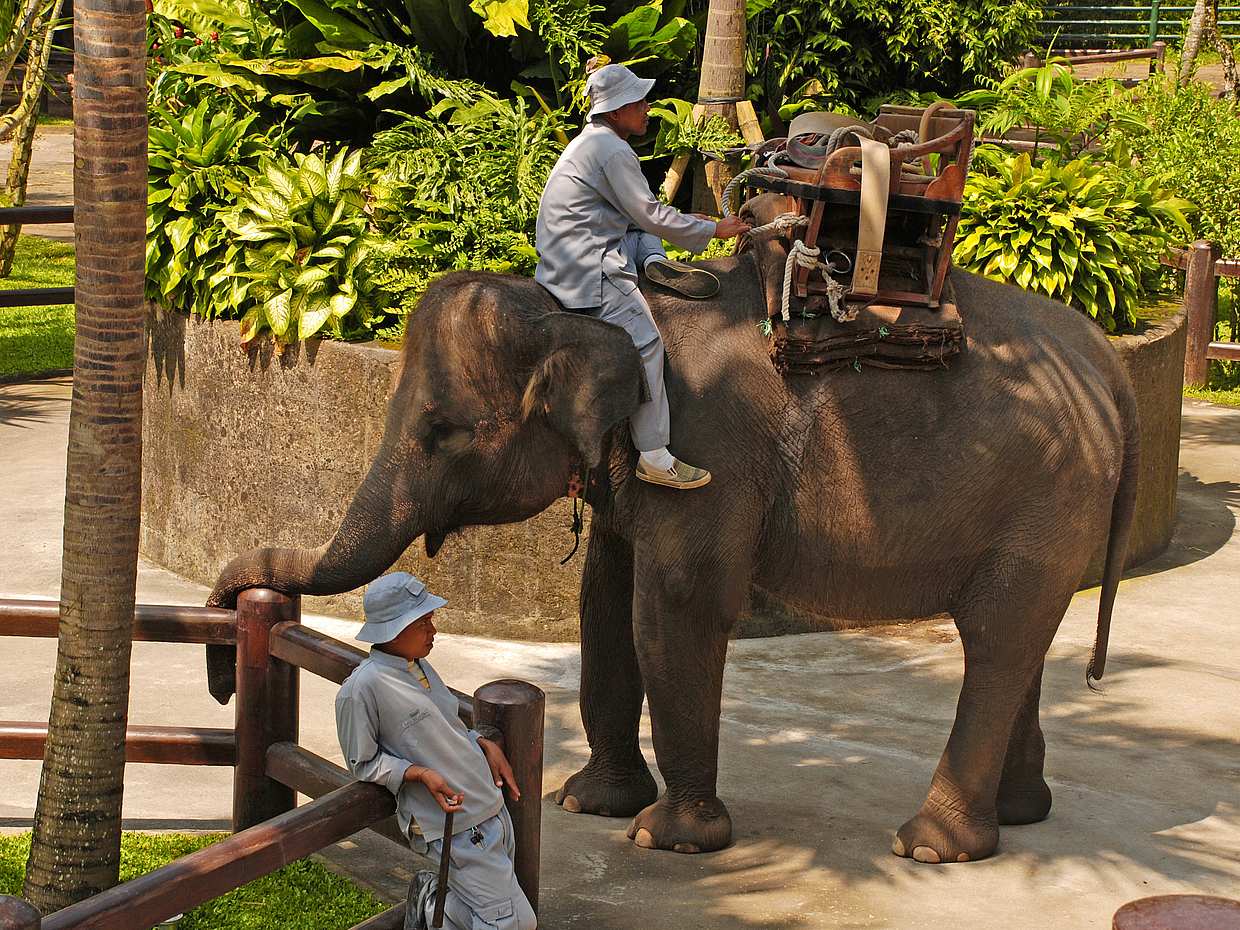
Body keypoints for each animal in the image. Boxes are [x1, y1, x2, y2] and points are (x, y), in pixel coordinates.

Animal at [205, 200, 1137, 866]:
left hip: (1049, 494)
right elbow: (604, 606)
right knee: (1018, 639)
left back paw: (932, 847)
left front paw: (670, 838)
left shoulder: (707, 448)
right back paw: (1019, 815)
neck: (586, 310)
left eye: (442, 430)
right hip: (1053, 504)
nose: (220, 681)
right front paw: (588, 802)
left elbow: (676, 609)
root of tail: (1105, 359)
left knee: (997, 639)